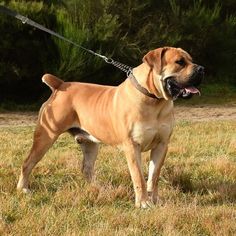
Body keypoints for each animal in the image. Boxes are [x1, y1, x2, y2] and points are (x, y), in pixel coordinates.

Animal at [17, 46, 204, 208]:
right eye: (180, 62)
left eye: (191, 59)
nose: (202, 68)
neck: (154, 100)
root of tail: (60, 85)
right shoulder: (132, 147)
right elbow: (139, 177)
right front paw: (143, 203)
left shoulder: (162, 145)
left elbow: (153, 176)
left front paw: (155, 200)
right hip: (46, 136)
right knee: (27, 163)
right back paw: (23, 189)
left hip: (90, 144)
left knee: (87, 168)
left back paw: (97, 189)